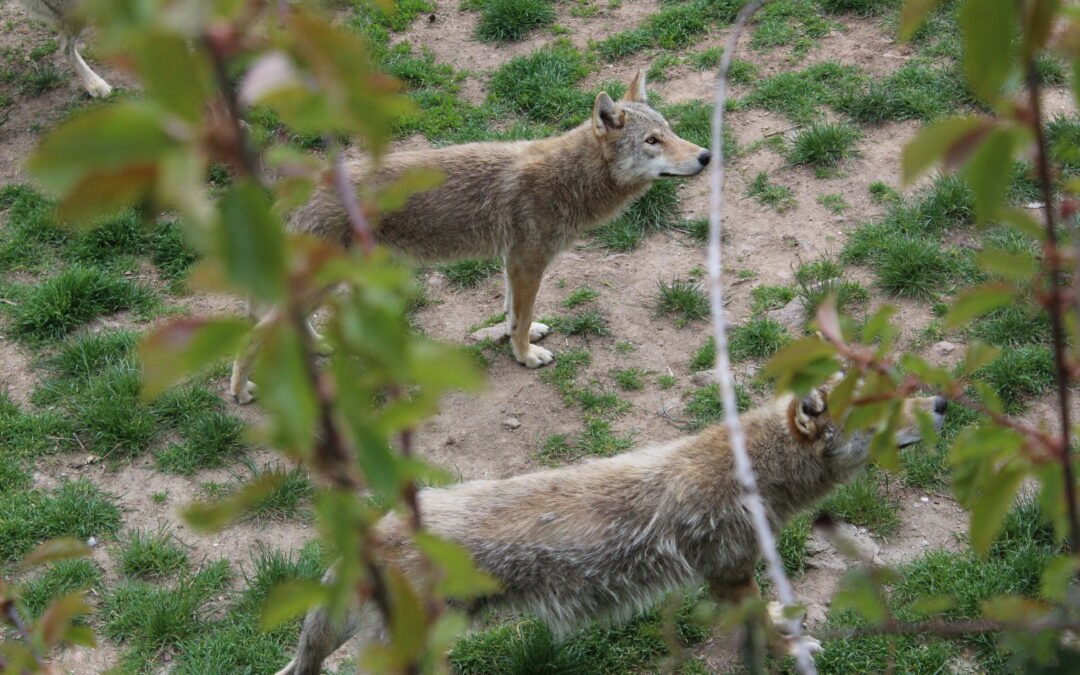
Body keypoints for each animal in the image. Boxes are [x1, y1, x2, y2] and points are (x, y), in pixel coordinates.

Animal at [230, 71, 708, 401]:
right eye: (652, 141)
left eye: (670, 131)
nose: (705, 155)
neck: (568, 178)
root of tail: (289, 190)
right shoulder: (528, 262)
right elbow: (518, 318)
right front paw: (525, 357)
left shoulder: (512, 261)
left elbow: (514, 313)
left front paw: (523, 337)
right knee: (255, 334)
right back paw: (239, 392)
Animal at [272, 384, 946, 673]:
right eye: (888, 410)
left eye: (904, 385)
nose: (942, 403)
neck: (755, 469)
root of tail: (370, 534)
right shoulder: (729, 575)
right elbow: (766, 627)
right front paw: (793, 650)